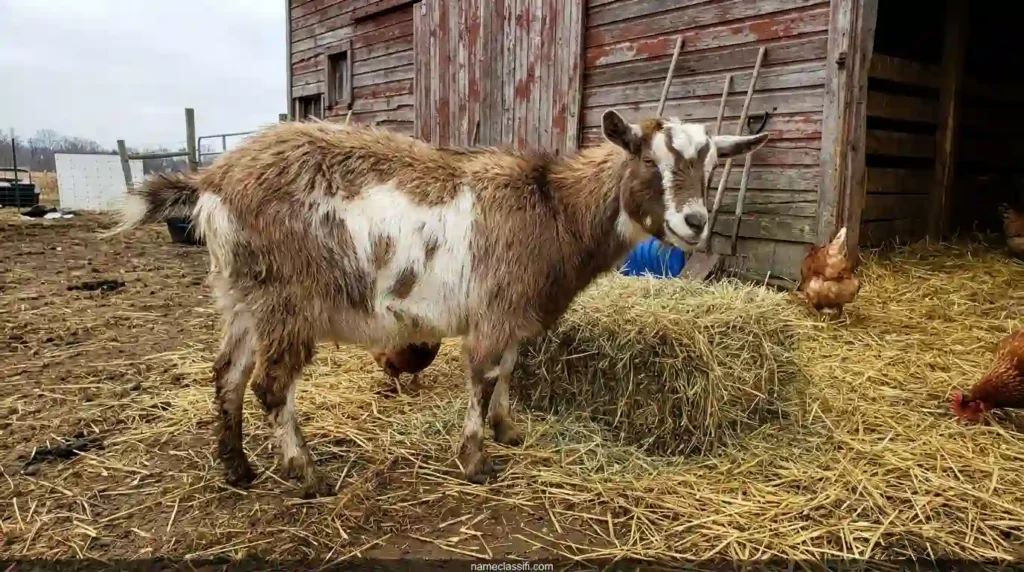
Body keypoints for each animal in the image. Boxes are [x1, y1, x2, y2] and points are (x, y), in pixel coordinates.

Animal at [104, 110, 770, 496]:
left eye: (713, 165)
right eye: (648, 160)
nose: (694, 222)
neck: (552, 208)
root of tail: (213, 180)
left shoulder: (509, 311)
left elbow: (509, 369)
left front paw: (507, 430)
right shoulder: (497, 306)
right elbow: (484, 374)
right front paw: (476, 461)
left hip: (244, 293)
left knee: (227, 375)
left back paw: (237, 468)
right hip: (288, 299)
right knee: (271, 385)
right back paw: (308, 474)